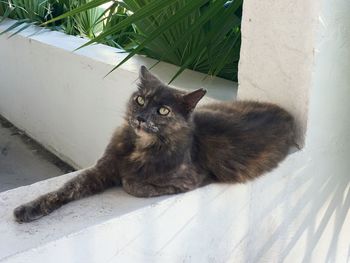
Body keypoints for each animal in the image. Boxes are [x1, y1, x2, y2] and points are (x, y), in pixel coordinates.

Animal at [13, 66, 296, 223]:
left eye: (163, 110)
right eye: (140, 100)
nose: (140, 117)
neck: (139, 146)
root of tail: (287, 114)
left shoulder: (191, 179)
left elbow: (133, 184)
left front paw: (129, 178)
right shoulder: (102, 168)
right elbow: (66, 188)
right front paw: (29, 208)